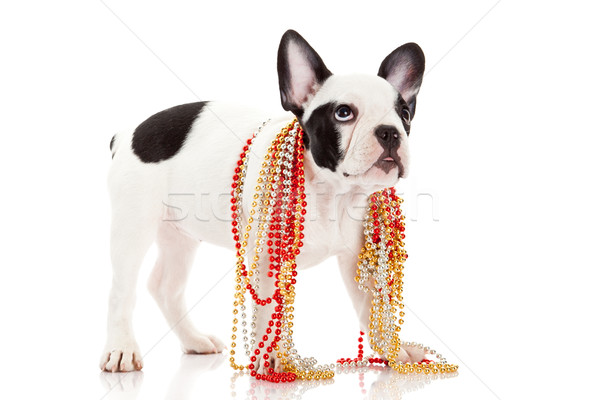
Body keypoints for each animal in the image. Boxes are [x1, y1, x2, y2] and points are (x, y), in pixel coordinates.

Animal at [99, 29, 426, 374]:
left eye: (405, 115)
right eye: (343, 113)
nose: (389, 132)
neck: (332, 193)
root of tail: (127, 134)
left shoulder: (356, 260)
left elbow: (372, 308)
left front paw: (393, 350)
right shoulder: (267, 257)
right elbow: (268, 310)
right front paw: (269, 357)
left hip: (180, 237)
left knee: (165, 287)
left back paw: (194, 340)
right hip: (133, 225)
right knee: (122, 290)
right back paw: (121, 349)